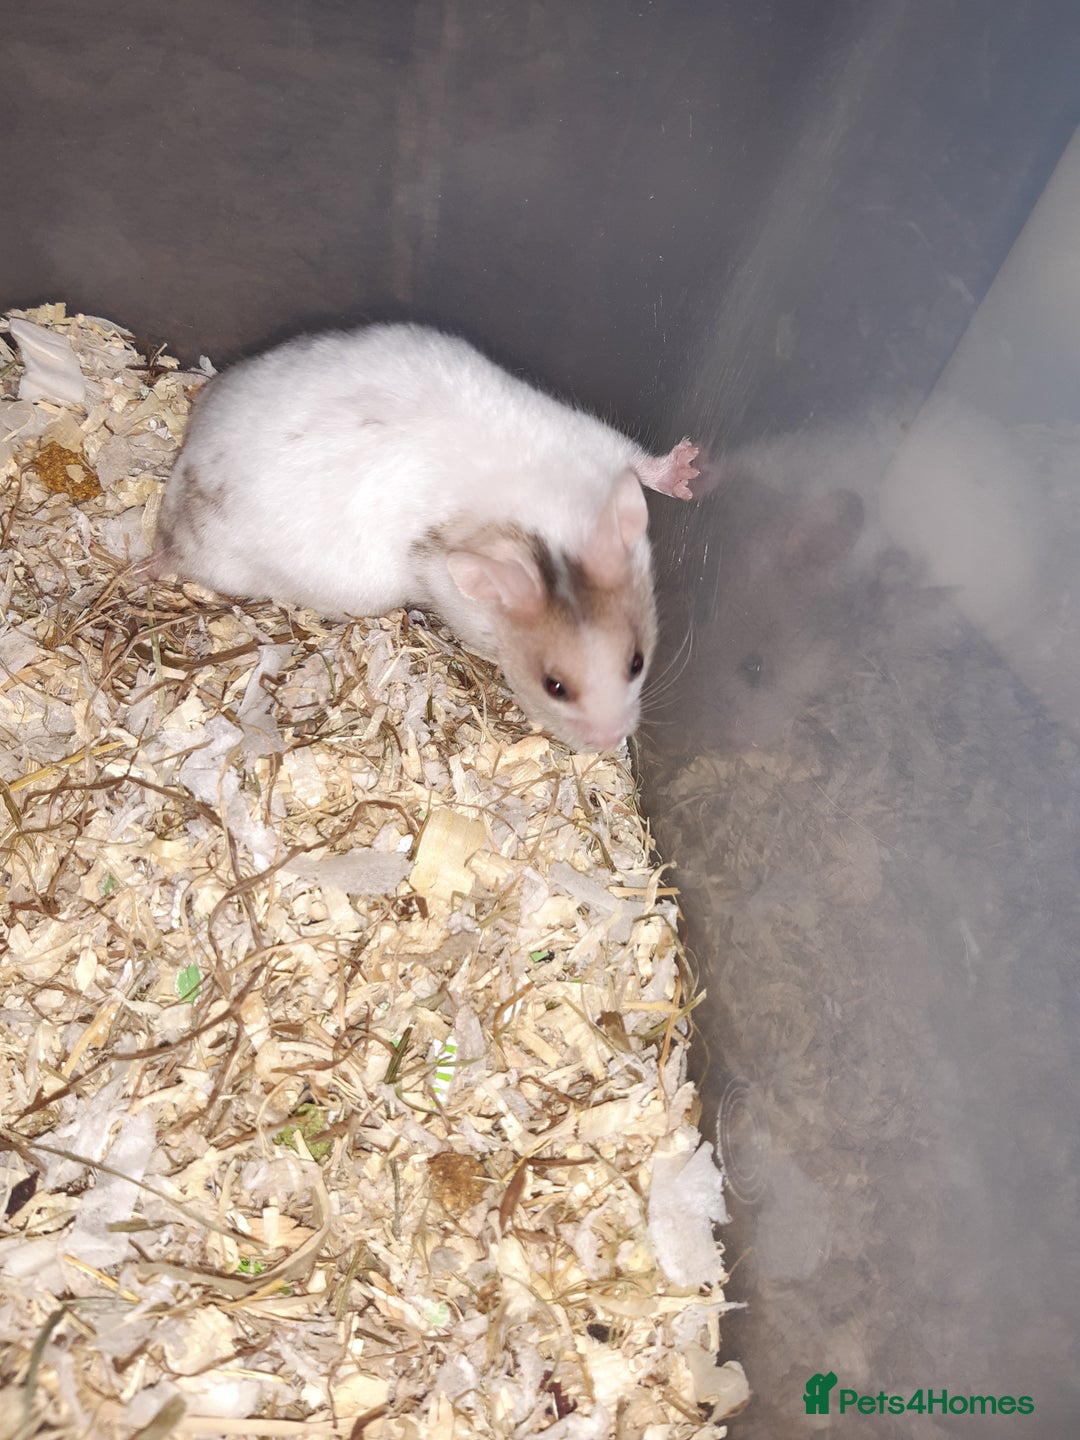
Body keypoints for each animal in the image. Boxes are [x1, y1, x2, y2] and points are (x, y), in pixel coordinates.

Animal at [152, 322, 698, 751]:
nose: (610, 746)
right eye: (555, 686)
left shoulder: (595, 443)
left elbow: (641, 463)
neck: (540, 528)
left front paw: (689, 470)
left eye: (637, 662)